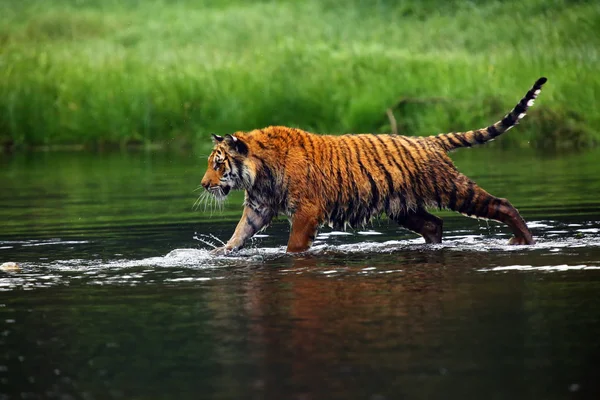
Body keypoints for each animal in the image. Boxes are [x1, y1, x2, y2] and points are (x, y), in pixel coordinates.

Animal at [199, 76, 548, 255]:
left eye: (218, 164)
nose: (204, 184)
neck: (258, 174)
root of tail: (430, 140)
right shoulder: (259, 207)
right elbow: (238, 235)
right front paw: (216, 255)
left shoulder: (307, 211)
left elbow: (294, 247)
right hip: (404, 207)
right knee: (434, 224)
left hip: (452, 189)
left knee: (501, 204)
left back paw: (524, 241)